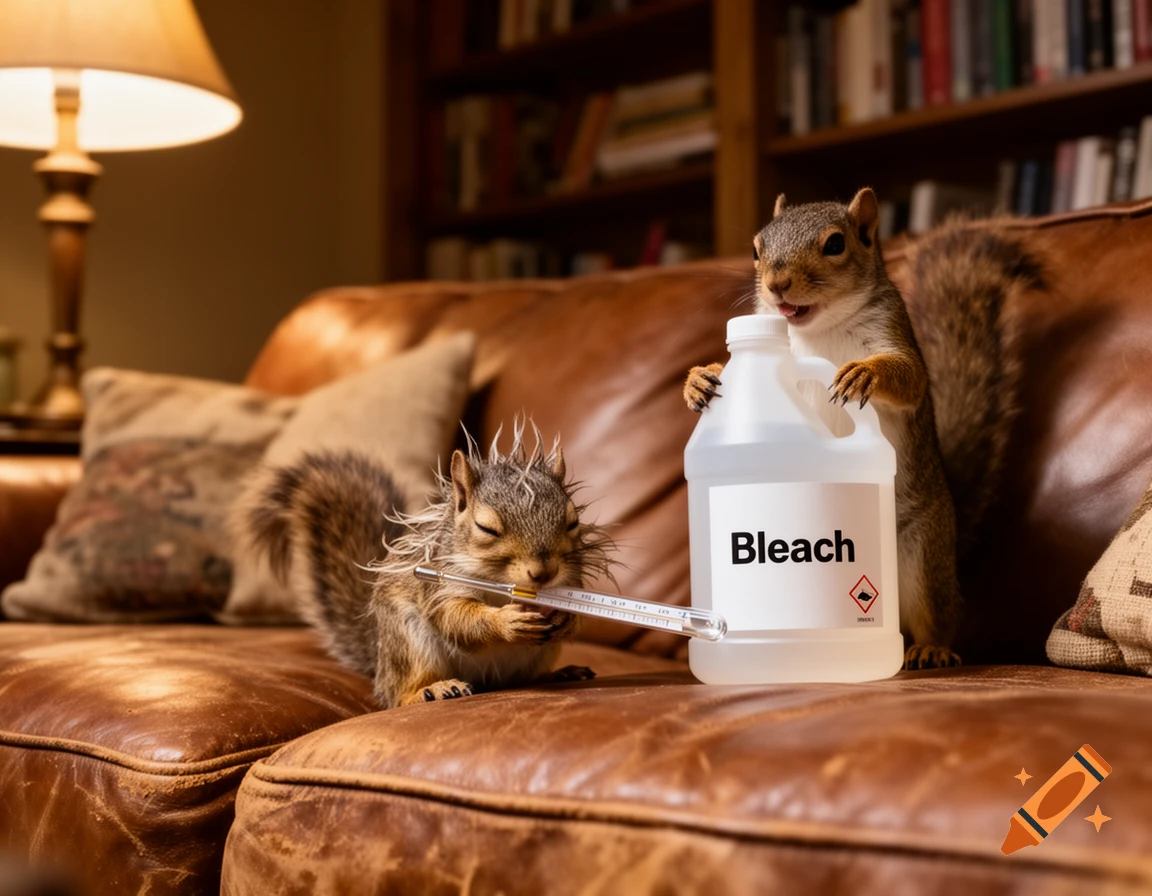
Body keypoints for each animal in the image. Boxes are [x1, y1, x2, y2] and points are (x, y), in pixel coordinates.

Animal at [234, 423, 616, 708]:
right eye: (486, 528)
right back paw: (431, 690)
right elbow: (456, 618)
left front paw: (568, 618)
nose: (543, 574)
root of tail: (380, 667)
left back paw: (559, 674)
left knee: (522, 679)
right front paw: (505, 622)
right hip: (408, 641)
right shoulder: (437, 586)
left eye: (572, 522)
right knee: (399, 696)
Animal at [685, 188, 1042, 670]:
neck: (820, 328)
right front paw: (700, 378)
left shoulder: (894, 335)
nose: (776, 284)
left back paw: (930, 648)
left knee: (938, 616)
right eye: (757, 249)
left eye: (836, 244)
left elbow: (909, 377)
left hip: (923, 554)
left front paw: (864, 373)